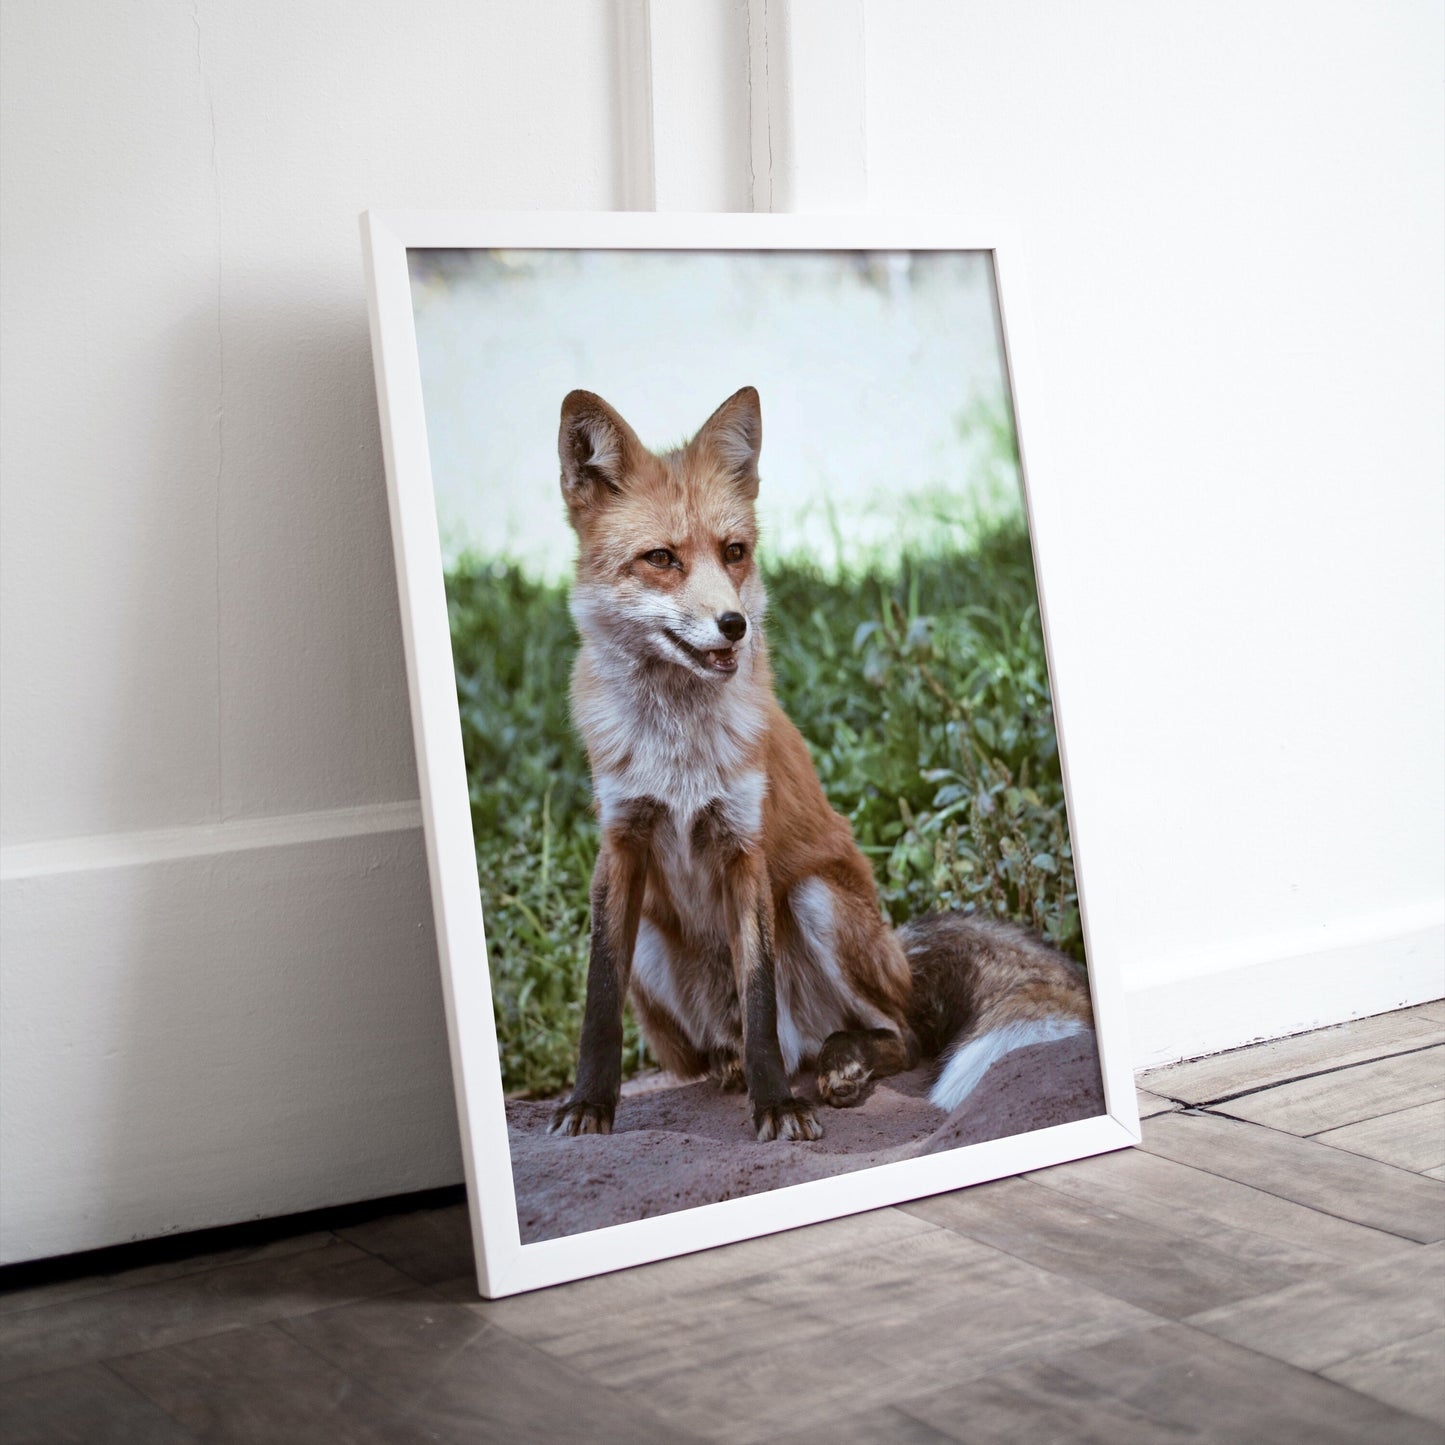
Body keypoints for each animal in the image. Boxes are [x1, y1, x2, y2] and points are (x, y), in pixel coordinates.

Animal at [548, 385, 1093, 1143]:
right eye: (660, 558)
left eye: (734, 552)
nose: (733, 625)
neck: (678, 748)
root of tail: (900, 954)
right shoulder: (621, 841)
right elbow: (599, 996)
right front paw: (588, 1104)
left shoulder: (744, 844)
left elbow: (758, 995)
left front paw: (777, 1108)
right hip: (656, 943)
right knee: (728, 1046)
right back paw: (737, 1066)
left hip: (818, 899)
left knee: (900, 1035)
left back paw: (840, 1065)